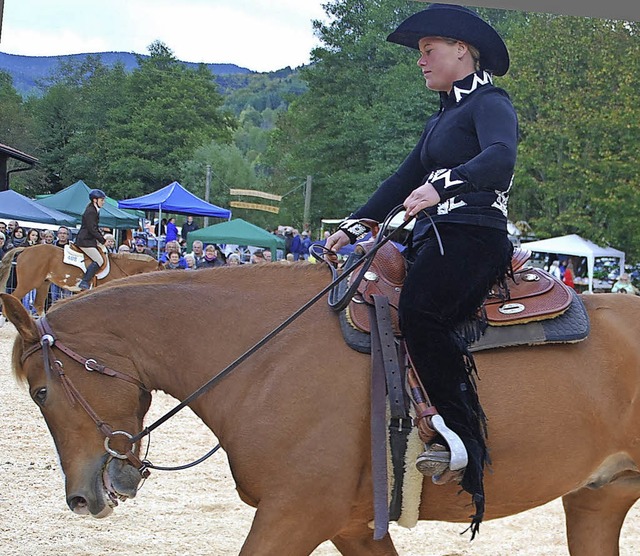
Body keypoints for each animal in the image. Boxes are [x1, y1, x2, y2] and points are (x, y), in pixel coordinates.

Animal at [1, 262, 640, 556]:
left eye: (40, 392)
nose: (81, 498)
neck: (264, 354)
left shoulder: (296, 514)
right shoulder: (352, 524)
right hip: (599, 498)